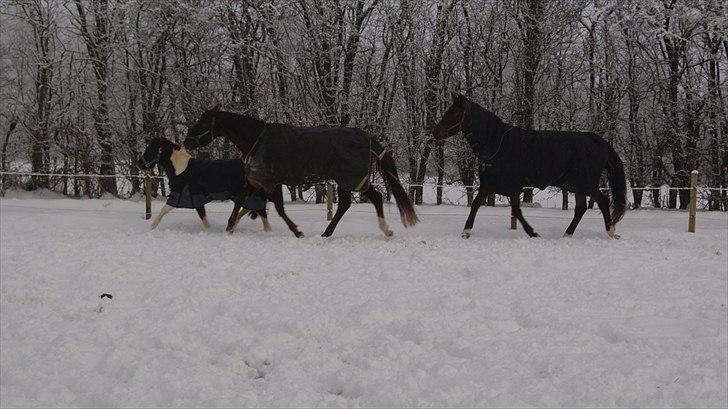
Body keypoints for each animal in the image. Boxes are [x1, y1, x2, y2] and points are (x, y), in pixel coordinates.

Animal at [138, 137, 272, 231]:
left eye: (150, 149)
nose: (139, 164)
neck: (181, 169)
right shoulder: (197, 200)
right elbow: (204, 219)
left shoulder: (179, 197)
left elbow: (162, 211)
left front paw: (151, 228)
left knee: (262, 216)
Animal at [432, 93, 624, 237]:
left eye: (454, 113)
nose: (435, 132)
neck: (496, 143)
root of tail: (600, 142)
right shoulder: (492, 185)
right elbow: (479, 204)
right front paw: (466, 231)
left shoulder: (510, 186)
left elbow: (514, 211)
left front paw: (533, 233)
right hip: (576, 185)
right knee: (581, 208)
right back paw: (567, 234)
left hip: (586, 184)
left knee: (603, 201)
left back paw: (610, 231)